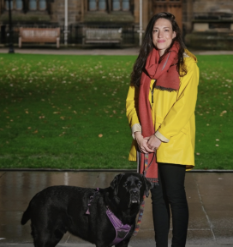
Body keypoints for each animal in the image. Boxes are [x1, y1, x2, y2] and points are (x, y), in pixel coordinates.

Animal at [21, 173, 151, 247]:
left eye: (139, 184)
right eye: (125, 185)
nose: (134, 192)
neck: (123, 211)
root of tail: (36, 196)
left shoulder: (123, 242)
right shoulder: (103, 242)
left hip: (55, 235)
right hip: (43, 234)